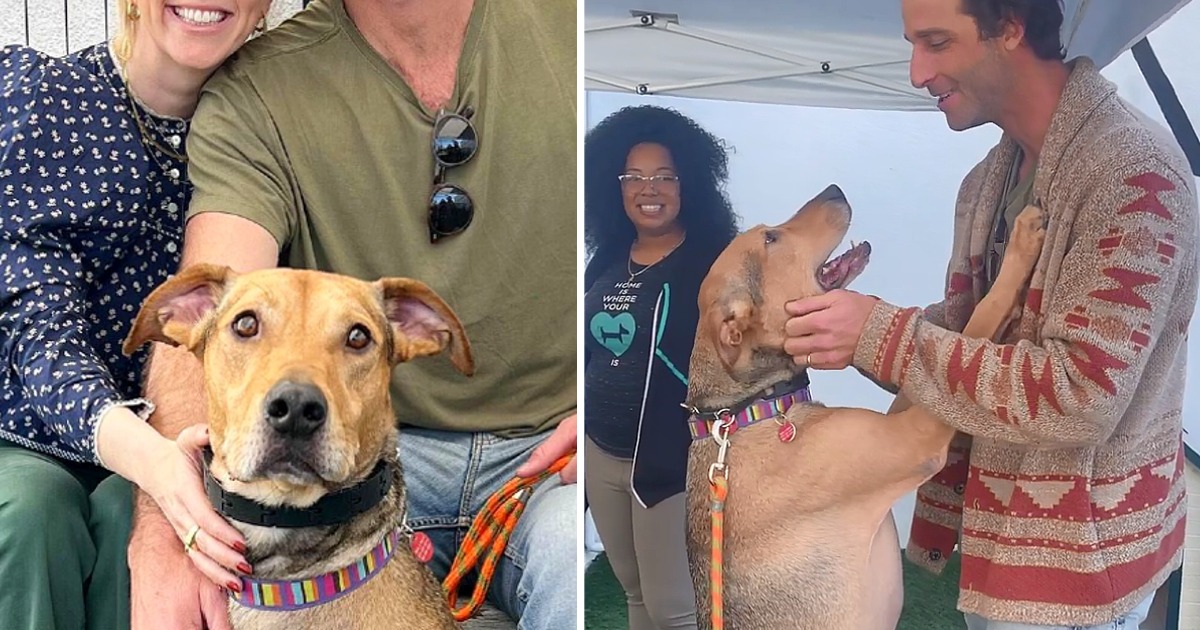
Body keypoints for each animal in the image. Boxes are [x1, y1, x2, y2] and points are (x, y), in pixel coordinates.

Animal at [686, 186, 1041, 628]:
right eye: (771, 239)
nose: (834, 190)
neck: (751, 407)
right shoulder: (916, 440)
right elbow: (982, 313)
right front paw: (1021, 245)